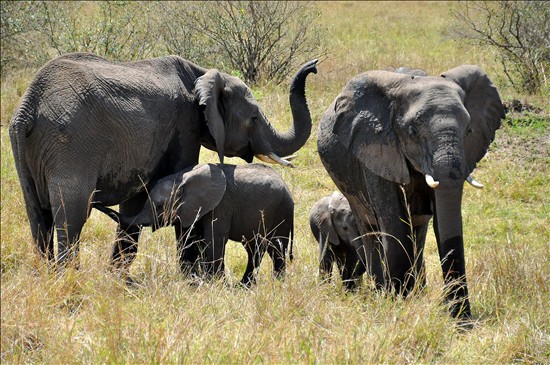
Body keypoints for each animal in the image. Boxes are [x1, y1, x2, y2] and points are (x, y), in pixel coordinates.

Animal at [8, 51, 316, 268]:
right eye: (253, 118)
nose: (313, 65)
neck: (201, 73)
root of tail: (28, 107)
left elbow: (136, 200)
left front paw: (118, 277)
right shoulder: (184, 125)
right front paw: (189, 277)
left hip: (28, 150)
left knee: (38, 216)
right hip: (70, 142)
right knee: (71, 215)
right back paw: (70, 280)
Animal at [96, 164, 294, 286]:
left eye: (159, 206)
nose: (94, 200)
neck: (183, 177)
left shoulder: (221, 205)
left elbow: (214, 239)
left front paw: (214, 283)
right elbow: (198, 239)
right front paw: (205, 280)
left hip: (281, 212)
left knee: (276, 249)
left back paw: (276, 285)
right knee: (256, 249)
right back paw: (246, 286)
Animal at [316, 65, 506, 318]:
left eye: (468, 130)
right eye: (412, 131)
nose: (463, 320)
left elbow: (440, 224)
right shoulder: (376, 148)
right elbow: (394, 222)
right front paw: (398, 303)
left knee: (418, 233)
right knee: (369, 229)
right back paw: (380, 290)